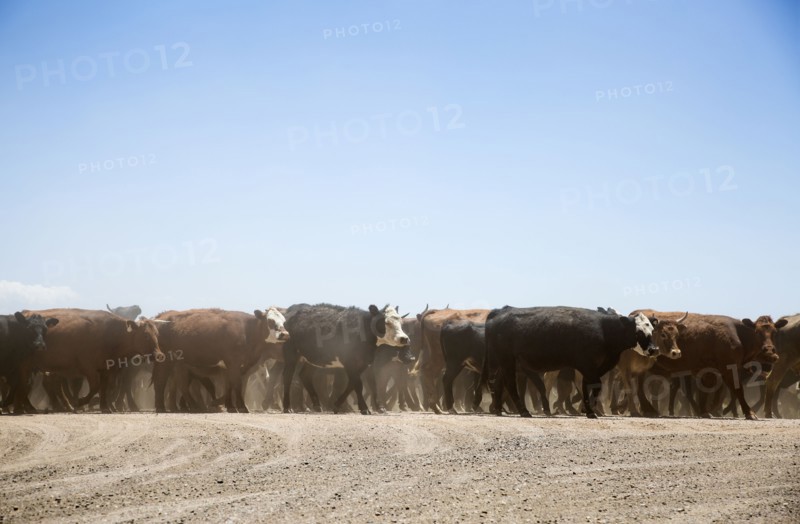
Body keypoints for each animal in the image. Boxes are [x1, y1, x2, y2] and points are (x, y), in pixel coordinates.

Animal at [23, 308, 163, 413]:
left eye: (157, 334)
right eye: (145, 335)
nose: (159, 355)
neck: (111, 334)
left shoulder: (106, 370)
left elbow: (104, 387)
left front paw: (105, 407)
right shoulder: (89, 368)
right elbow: (96, 387)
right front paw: (80, 402)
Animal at [153, 307, 289, 413]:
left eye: (284, 321)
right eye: (270, 320)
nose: (285, 334)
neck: (247, 331)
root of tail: (160, 317)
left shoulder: (228, 367)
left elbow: (228, 385)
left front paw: (231, 407)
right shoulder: (233, 363)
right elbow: (237, 384)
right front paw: (241, 407)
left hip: (179, 365)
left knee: (182, 386)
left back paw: (192, 407)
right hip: (166, 362)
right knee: (161, 381)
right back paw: (161, 407)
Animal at [281, 303, 410, 415]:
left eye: (401, 322)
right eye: (386, 322)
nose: (404, 338)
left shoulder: (366, 363)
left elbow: (362, 384)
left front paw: (337, 405)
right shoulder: (350, 362)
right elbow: (357, 384)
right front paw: (364, 409)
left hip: (314, 359)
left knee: (305, 375)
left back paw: (317, 406)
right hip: (291, 355)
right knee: (287, 377)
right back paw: (287, 407)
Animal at [485, 306, 658, 419]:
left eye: (651, 330)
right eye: (638, 332)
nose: (654, 349)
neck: (604, 329)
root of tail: (498, 312)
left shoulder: (594, 367)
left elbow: (588, 385)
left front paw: (587, 409)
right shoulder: (587, 365)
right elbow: (593, 385)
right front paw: (590, 411)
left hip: (506, 362)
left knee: (499, 382)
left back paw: (499, 409)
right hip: (507, 360)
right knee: (510, 383)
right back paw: (523, 411)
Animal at [637, 310, 787, 420]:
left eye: (774, 333)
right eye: (757, 332)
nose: (770, 352)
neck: (738, 334)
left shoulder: (708, 371)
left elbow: (706, 391)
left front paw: (705, 411)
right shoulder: (729, 369)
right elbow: (737, 390)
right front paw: (749, 413)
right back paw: (647, 410)